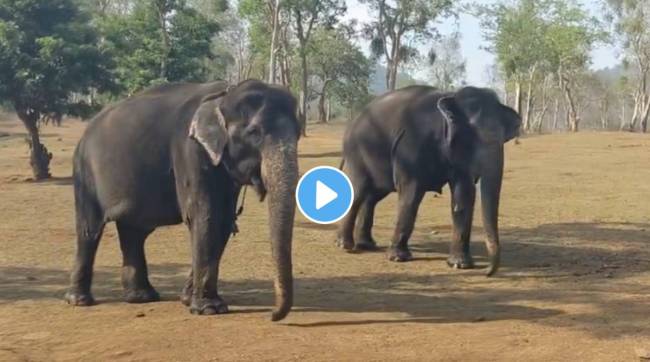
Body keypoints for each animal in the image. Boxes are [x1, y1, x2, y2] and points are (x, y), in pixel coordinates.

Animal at [64, 79, 298, 320]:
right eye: (254, 132)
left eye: (299, 133)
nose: (271, 315)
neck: (224, 95)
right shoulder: (189, 150)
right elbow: (205, 216)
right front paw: (209, 309)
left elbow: (223, 221)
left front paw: (188, 300)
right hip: (84, 173)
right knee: (90, 230)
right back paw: (80, 300)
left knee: (133, 233)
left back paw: (141, 297)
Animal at [336, 85, 520, 278]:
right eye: (474, 136)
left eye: (503, 139)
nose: (487, 272)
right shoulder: (411, 147)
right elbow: (411, 195)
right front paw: (399, 258)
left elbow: (464, 196)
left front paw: (460, 265)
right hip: (357, 154)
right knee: (359, 190)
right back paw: (345, 245)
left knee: (372, 196)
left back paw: (367, 245)